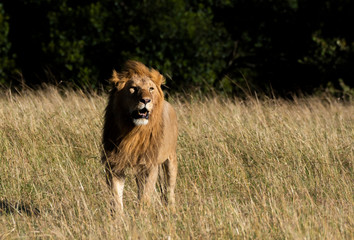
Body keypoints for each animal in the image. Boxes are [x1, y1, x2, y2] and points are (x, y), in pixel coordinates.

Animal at [101, 60, 178, 212]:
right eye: (133, 88)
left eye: (151, 89)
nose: (146, 100)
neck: (133, 132)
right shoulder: (115, 164)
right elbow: (116, 198)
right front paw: (118, 218)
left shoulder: (149, 165)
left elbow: (144, 198)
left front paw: (142, 215)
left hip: (171, 159)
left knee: (169, 191)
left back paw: (172, 211)